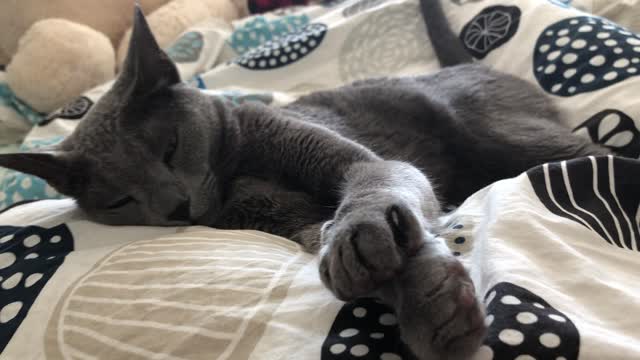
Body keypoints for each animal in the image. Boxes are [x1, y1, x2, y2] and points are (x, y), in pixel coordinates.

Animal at [0, 0, 608, 358]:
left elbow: (374, 189)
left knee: (594, 151)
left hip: (512, 136)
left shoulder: (351, 160)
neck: (237, 174)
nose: (175, 208)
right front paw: (435, 304)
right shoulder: (297, 224)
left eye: (169, 147)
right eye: (119, 200)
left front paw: (364, 238)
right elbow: (373, 258)